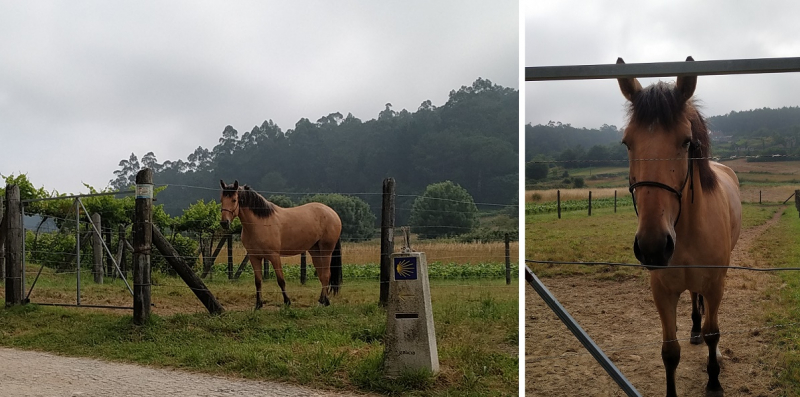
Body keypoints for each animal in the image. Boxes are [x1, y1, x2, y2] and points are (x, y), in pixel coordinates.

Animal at [620, 56, 744, 396]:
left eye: (686, 141)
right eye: (627, 143)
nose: (652, 246)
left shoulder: (715, 285)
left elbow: (714, 333)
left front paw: (714, 381)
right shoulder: (662, 291)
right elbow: (669, 351)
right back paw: (694, 329)